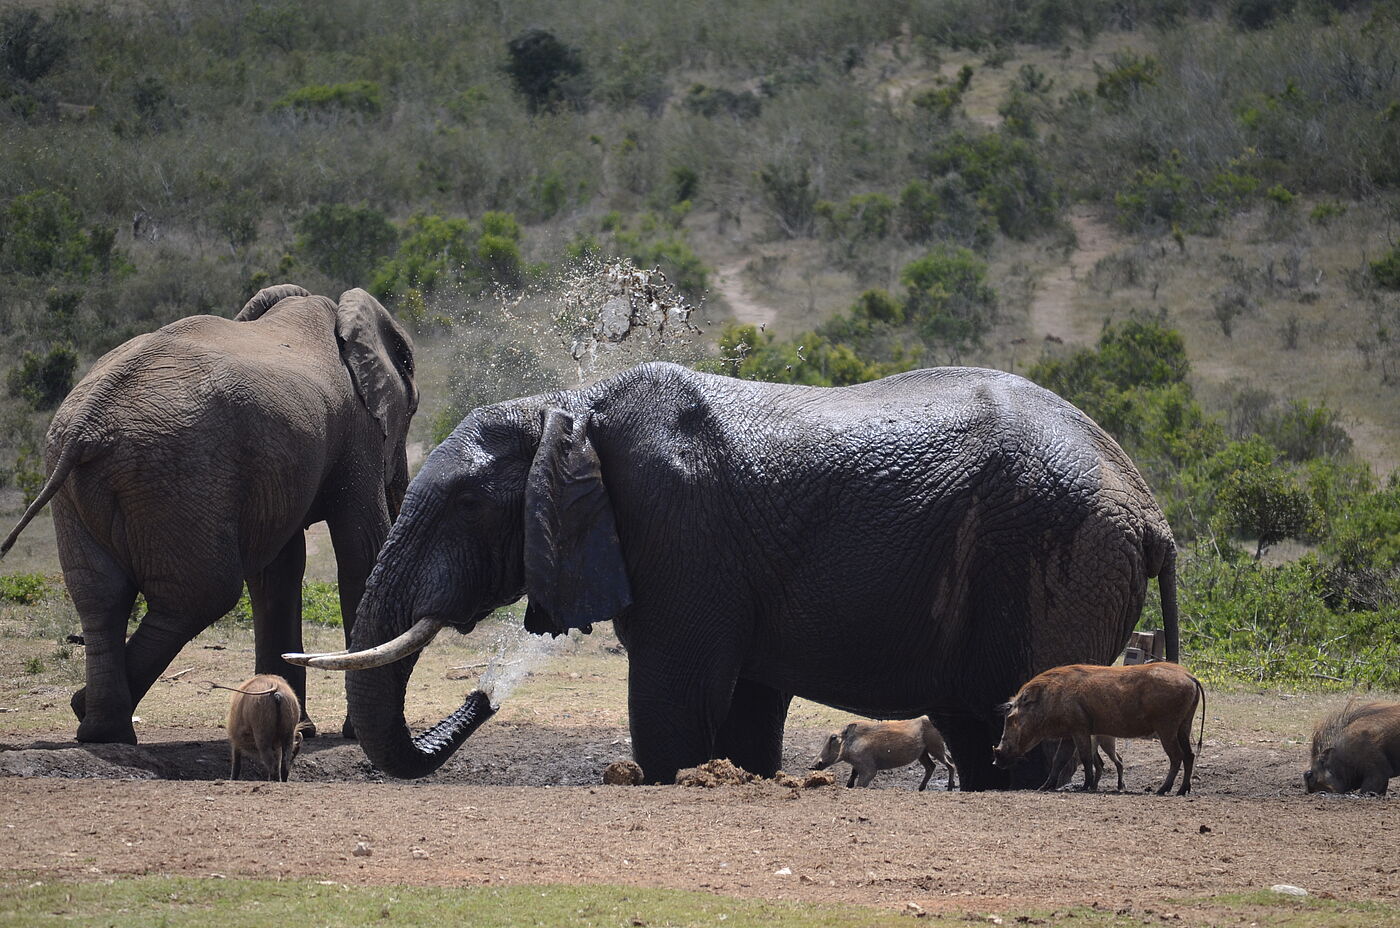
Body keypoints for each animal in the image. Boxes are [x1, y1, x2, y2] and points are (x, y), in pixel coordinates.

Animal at [0, 284, 417, 744]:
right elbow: (360, 553)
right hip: (179, 473)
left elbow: (280, 571)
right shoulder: (357, 434)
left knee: (101, 595)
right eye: (412, 408)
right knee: (202, 594)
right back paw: (97, 718)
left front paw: (301, 731)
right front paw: (351, 735)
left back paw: (97, 725)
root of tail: (85, 424)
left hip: (85, 483)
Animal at [810, 717, 957, 790]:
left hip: (936, 748)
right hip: (923, 753)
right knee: (931, 767)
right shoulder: (857, 765)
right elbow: (851, 778)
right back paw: (920, 788)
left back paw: (950, 788)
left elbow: (860, 784)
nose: (812, 766)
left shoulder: (869, 770)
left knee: (950, 764)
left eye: (834, 738)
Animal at [993, 662, 1204, 796]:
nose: (996, 761)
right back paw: (1182, 790)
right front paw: (1044, 787)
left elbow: (1085, 758)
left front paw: (1086, 786)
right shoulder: (1069, 735)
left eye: (1010, 718)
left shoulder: (1080, 729)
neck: (1049, 698)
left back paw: (1162, 790)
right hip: (1184, 726)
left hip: (1167, 728)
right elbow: (1058, 761)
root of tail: (1190, 676)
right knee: (1190, 755)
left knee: (1177, 756)